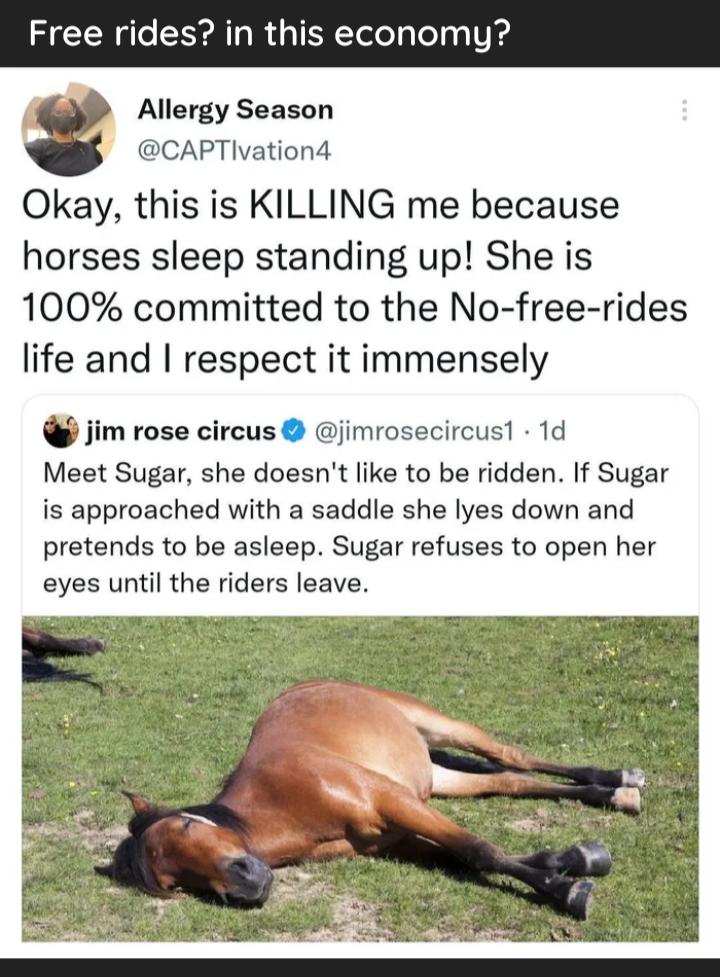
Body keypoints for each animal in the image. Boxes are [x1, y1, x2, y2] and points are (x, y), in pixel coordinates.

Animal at [97, 679, 646, 920]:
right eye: (175, 884)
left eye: (188, 826)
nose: (244, 884)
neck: (284, 803)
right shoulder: (397, 838)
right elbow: (467, 857)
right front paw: (574, 861)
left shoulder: (393, 801)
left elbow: (479, 850)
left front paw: (567, 892)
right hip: (433, 777)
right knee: (508, 779)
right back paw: (614, 792)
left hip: (437, 727)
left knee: (509, 755)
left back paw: (623, 778)